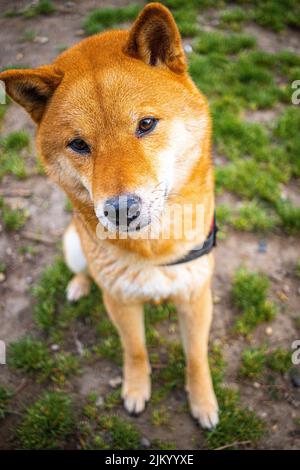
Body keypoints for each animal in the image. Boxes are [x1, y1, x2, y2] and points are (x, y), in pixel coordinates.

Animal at [0, 2, 218, 430]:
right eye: (79, 144)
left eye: (146, 124)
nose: (121, 210)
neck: (155, 250)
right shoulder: (120, 301)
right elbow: (135, 350)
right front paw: (136, 390)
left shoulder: (195, 294)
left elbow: (197, 357)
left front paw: (203, 402)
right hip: (73, 246)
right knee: (84, 271)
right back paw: (79, 285)